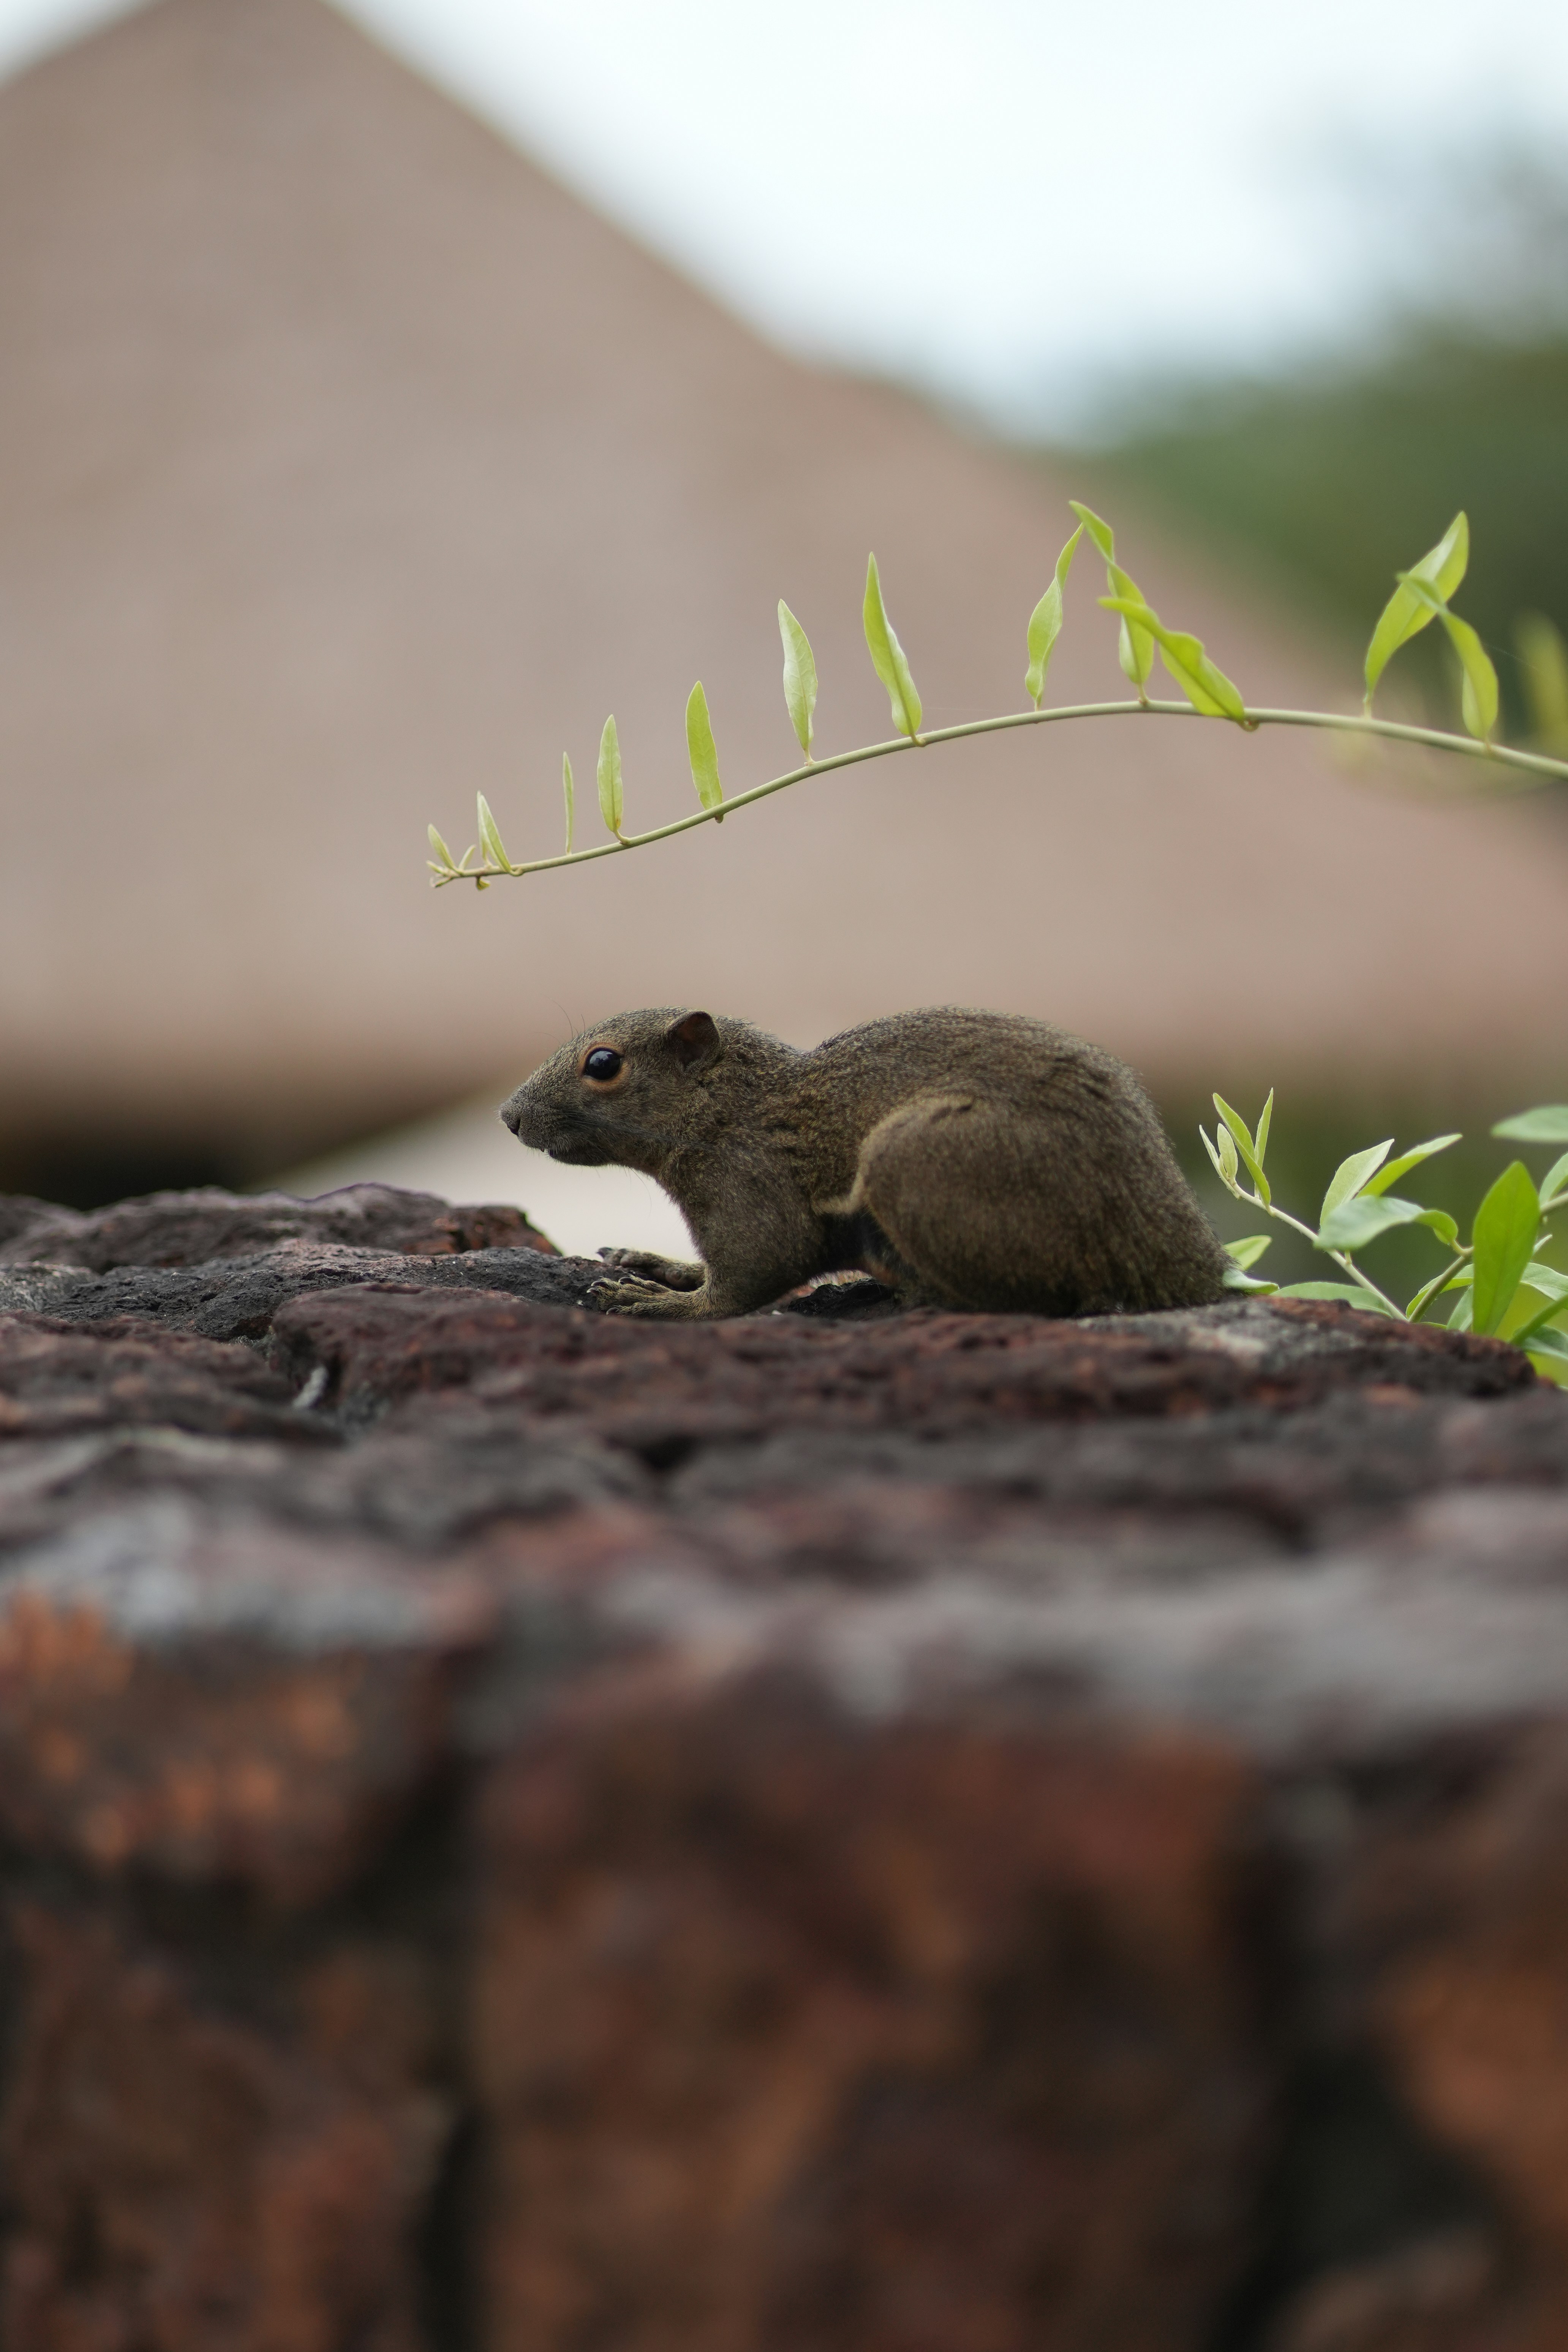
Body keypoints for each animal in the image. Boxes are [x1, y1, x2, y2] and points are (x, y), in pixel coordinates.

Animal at [500, 1006, 1231, 1321]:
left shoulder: (753, 1190)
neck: (731, 1111)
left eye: (603, 1063)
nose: (509, 1115)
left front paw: (662, 1302)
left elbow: (747, 1281)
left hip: (918, 1158)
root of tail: (1182, 1261)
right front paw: (660, 1265)